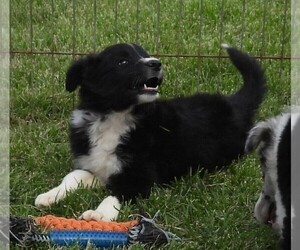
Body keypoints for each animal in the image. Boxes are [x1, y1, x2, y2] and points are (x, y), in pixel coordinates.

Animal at [34, 42, 266, 221]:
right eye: (122, 62)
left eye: (144, 54)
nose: (156, 63)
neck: (115, 116)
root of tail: (233, 103)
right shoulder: (98, 166)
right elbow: (74, 176)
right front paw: (50, 195)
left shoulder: (139, 178)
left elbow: (115, 196)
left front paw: (99, 215)